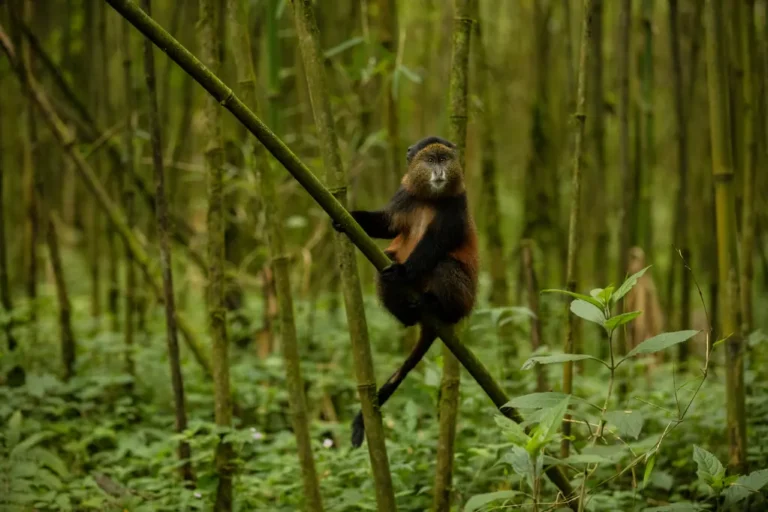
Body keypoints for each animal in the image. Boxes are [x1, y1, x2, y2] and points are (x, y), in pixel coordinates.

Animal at [333, 135, 479, 448]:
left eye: (444, 159)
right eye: (430, 160)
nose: (440, 172)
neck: (429, 198)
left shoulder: (456, 207)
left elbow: (435, 246)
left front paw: (402, 272)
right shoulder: (405, 195)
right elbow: (387, 224)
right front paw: (348, 217)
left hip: (462, 298)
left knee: (444, 264)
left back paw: (434, 305)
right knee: (385, 263)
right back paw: (407, 314)